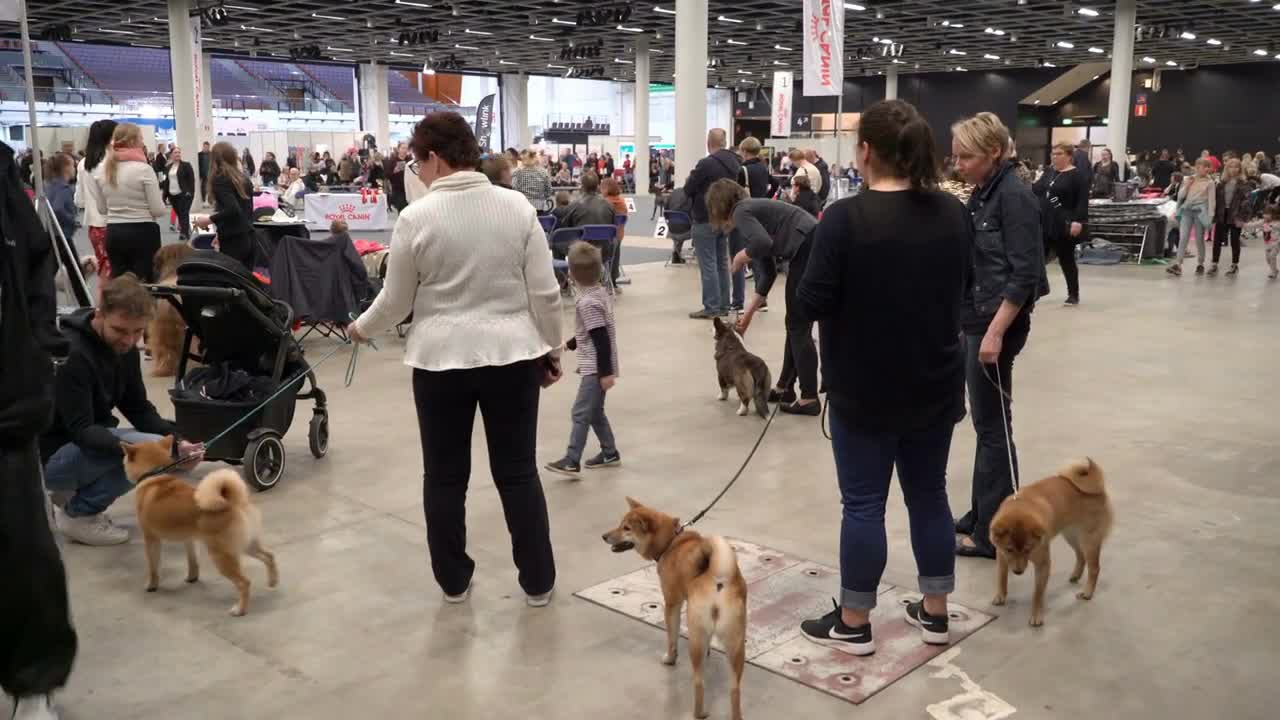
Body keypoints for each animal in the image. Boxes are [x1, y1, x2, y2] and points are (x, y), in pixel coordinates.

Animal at [601, 497, 747, 717]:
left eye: (626, 528)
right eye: (620, 524)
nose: (604, 536)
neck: (671, 542)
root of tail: (719, 579)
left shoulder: (672, 604)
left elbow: (672, 636)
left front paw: (670, 658)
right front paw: (709, 651)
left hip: (696, 639)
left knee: (699, 683)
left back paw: (698, 713)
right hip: (736, 644)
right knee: (735, 690)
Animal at [988, 456, 1111, 625]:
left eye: (1028, 549)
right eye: (1009, 549)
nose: (1018, 572)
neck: (1021, 506)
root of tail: (1098, 490)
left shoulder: (1042, 565)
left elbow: (1037, 594)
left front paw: (1036, 615)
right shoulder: (1002, 556)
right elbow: (1001, 577)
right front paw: (1000, 595)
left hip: (1089, 540)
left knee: (1094, 568)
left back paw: (1087, 592)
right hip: (1071, 536)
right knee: (1080, 556)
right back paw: (1076, 575)